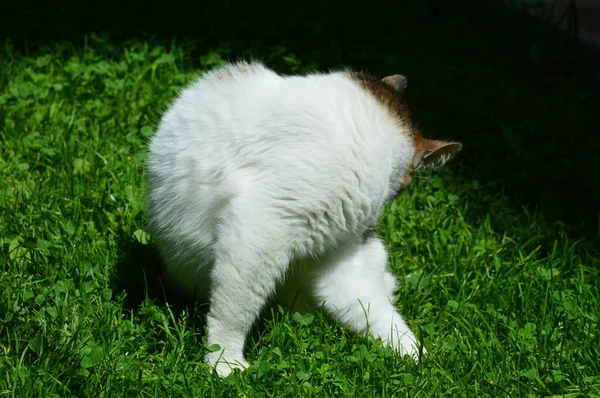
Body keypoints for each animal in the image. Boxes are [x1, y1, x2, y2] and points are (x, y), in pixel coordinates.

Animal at [146, 59, 464, 376]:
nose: (397, 192)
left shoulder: (336, 252)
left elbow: (372, 311)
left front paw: (421, 360)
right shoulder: (262, 225)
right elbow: (234, 310)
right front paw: (224, 361)